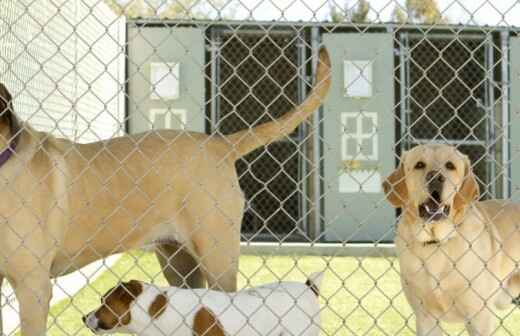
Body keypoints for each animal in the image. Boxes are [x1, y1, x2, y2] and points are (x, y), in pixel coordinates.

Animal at [380, 145, 520, 336]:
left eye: (450, 166)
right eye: (419, 165)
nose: (435, 177)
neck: (437, 242)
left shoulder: (479, 317)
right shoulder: (426, 318)